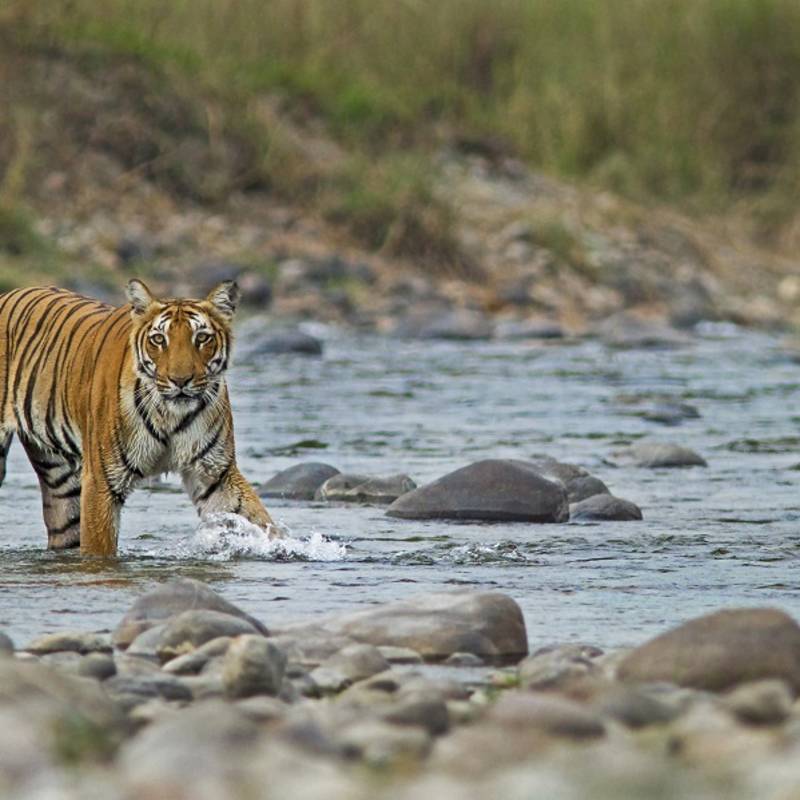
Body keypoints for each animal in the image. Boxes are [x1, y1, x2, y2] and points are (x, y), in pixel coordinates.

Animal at [0, 282, 276, 556]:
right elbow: (99, 548)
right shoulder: (101, 481)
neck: (170, 415)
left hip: (60, 478)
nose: (180, 381)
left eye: (201, 338)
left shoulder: (215, 473)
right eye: (159, 339)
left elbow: (257, 519)